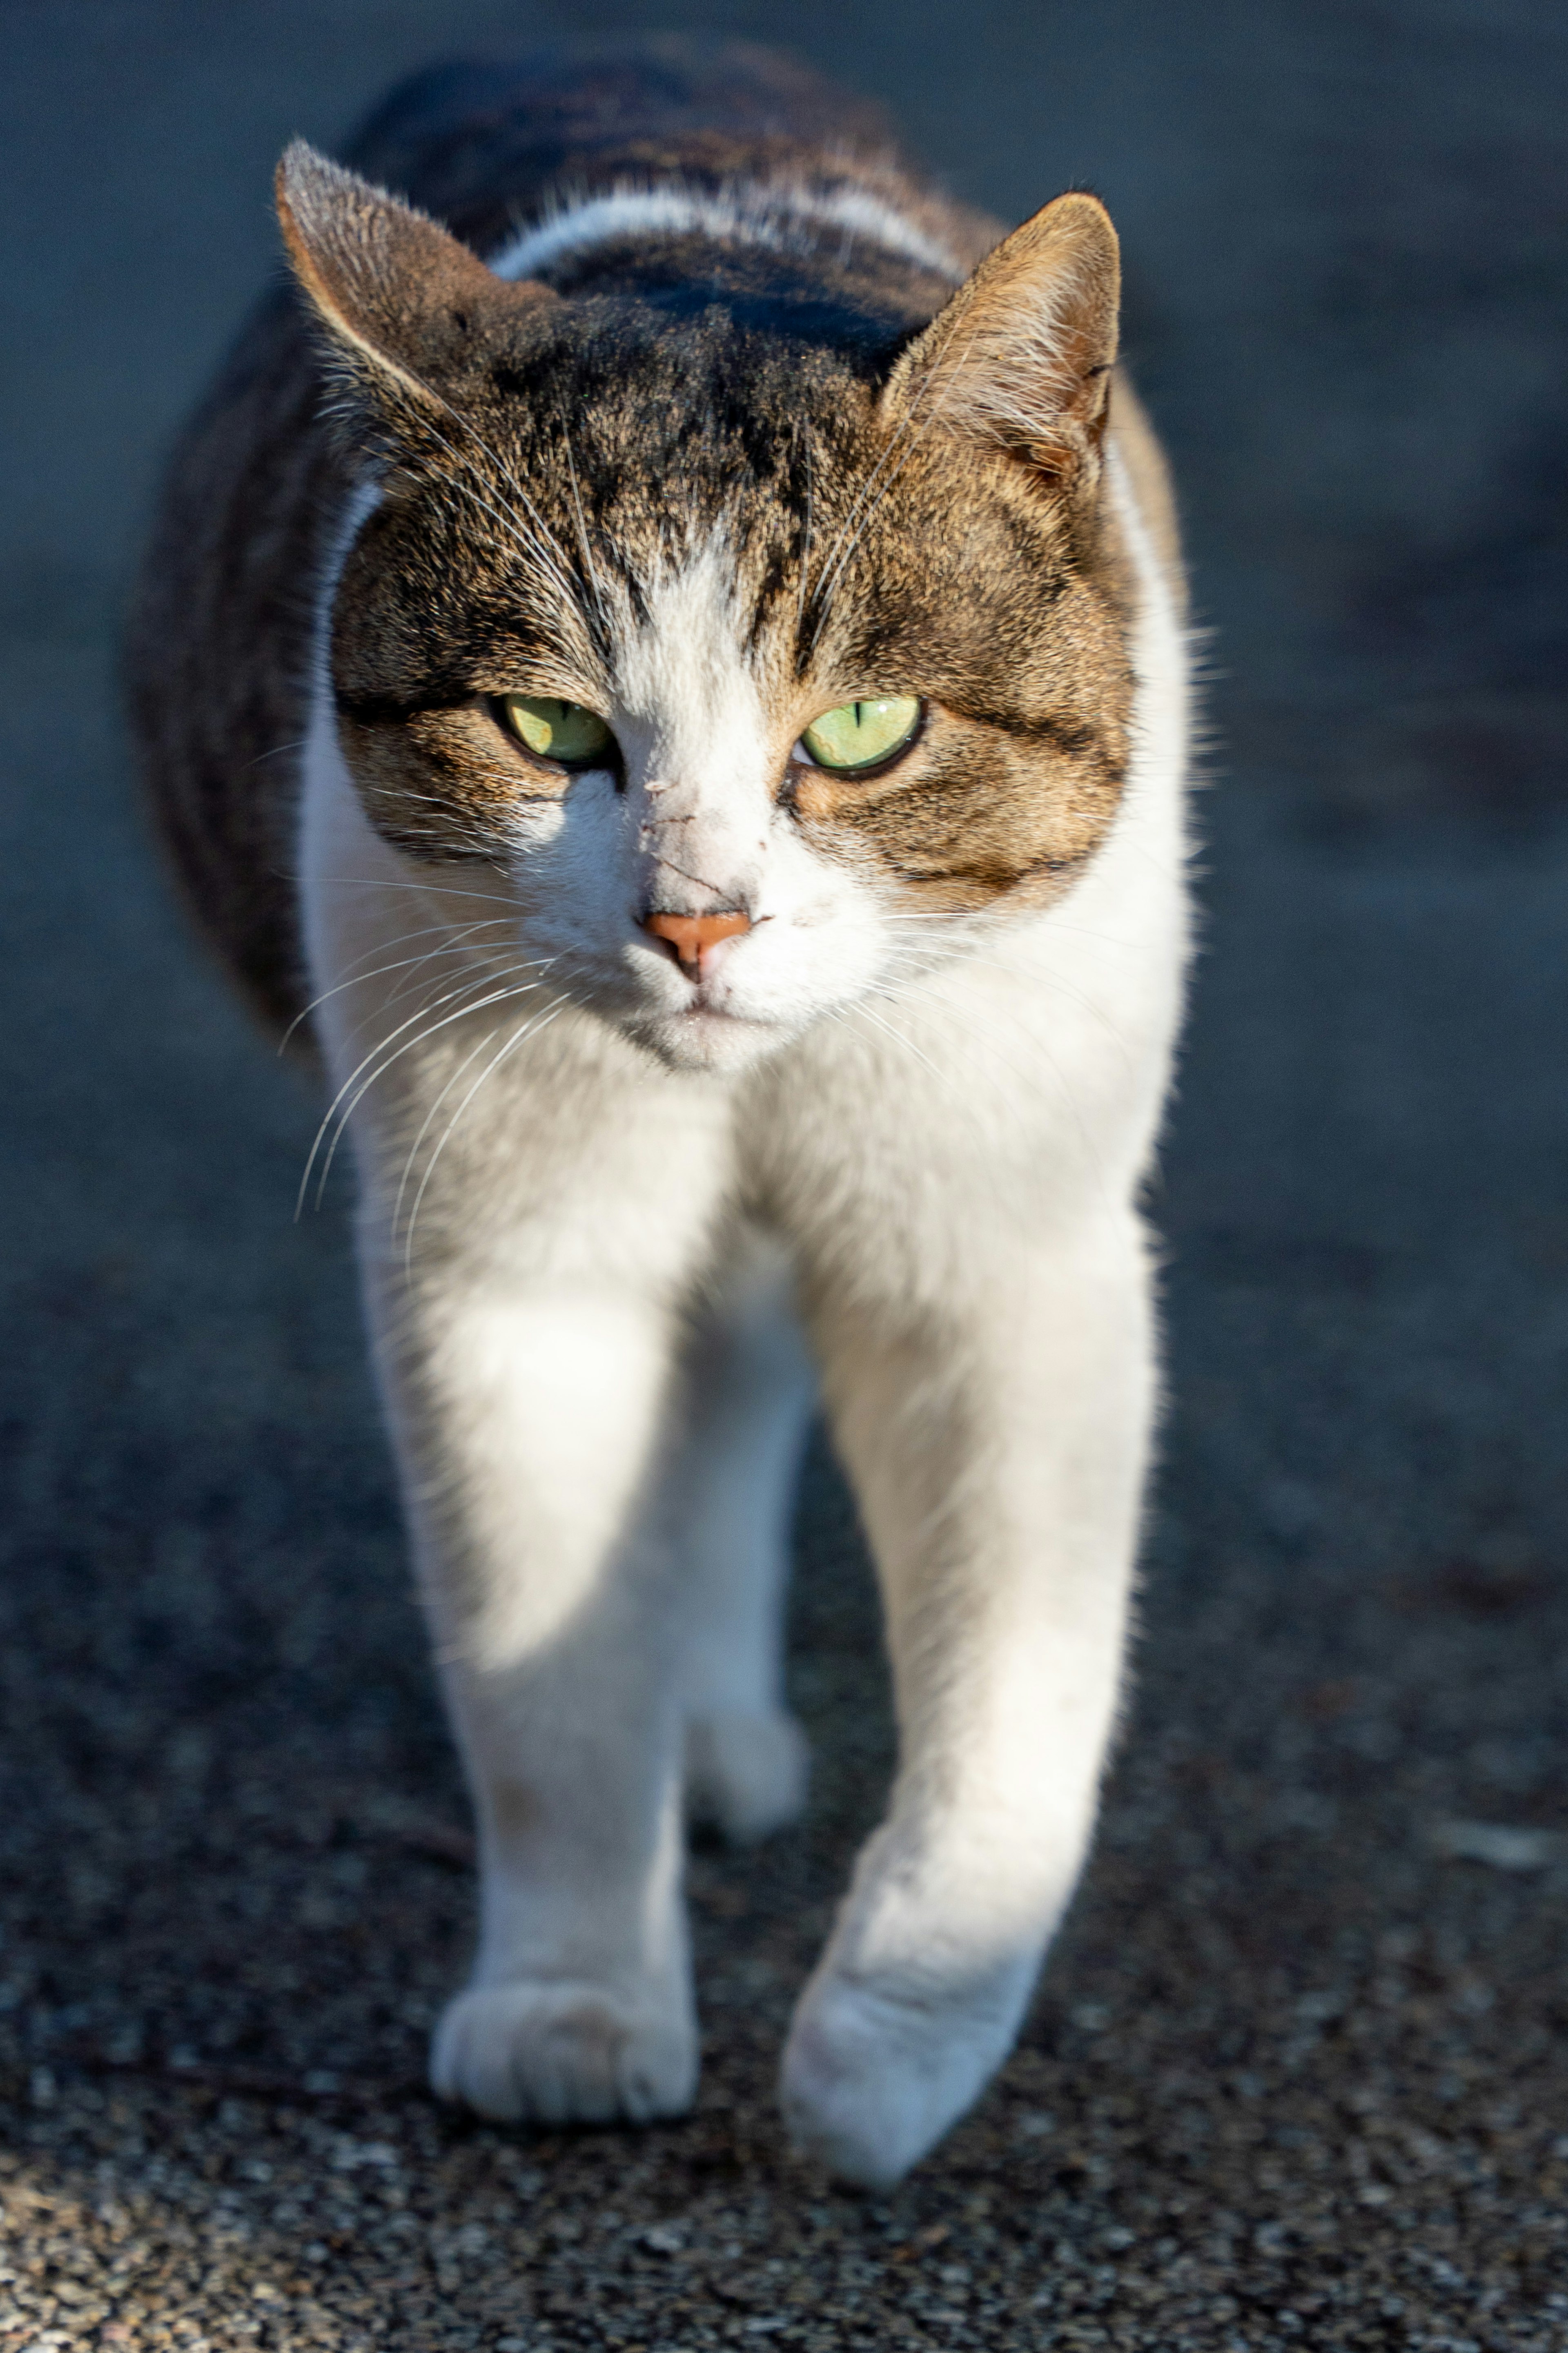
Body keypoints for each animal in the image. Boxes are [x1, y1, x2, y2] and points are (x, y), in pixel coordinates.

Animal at [131, 41, 1189, 2183]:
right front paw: (575, 2004)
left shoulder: (1005, 1248)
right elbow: (548, 1676)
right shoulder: (507, 1256)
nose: (696, 919)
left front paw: (894, 2042)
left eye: (862, 730)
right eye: (549, 731)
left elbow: (1021, 1678)